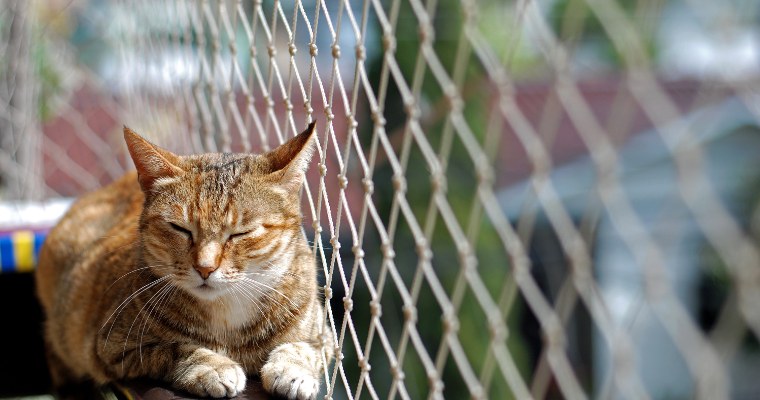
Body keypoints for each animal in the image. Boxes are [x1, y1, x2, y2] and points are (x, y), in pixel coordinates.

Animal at [36, 122, 330, 400]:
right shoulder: (112, 347)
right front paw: (212, 366)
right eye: (180, 229)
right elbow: (175, 349)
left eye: (241, 233)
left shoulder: (324, 337)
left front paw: (293, 370)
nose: (205, 267)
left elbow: (304, 348)